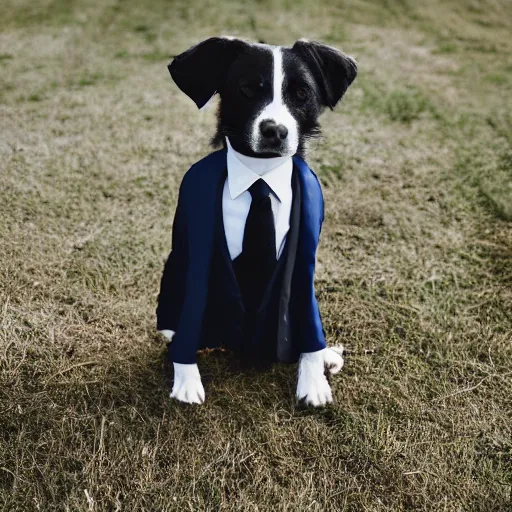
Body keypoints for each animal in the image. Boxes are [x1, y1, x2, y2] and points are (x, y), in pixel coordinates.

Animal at [158, 36, 358, 406]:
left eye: (301, 93)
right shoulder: (196, 259)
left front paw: (313, 378)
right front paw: (186, 377)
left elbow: (306, 316)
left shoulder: (303, 261)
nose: (274, 131)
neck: (260, 175)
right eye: (248, 89)